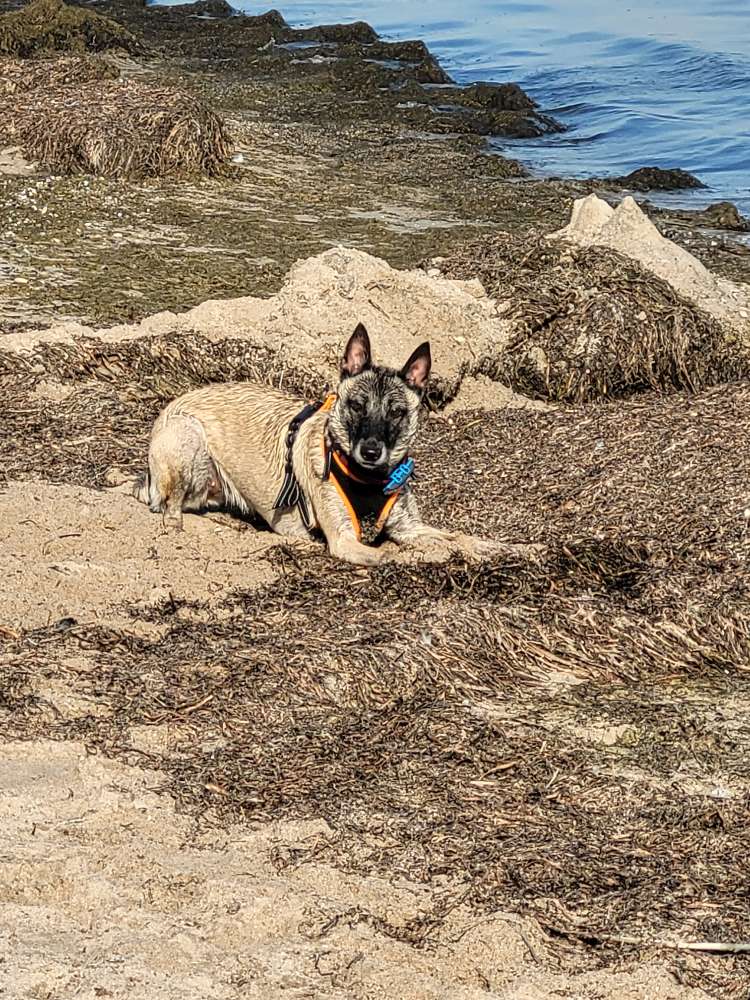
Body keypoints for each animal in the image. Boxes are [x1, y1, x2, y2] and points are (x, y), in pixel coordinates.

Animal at [132, 324, 524, 568]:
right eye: (357, 405)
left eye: (396, 411)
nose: (371, 451)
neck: (368, 478)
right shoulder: (346, 539)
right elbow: (401, 555)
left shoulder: (409, 527)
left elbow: (456, 536)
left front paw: (496, 546)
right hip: (188, 439)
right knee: (170, 508)